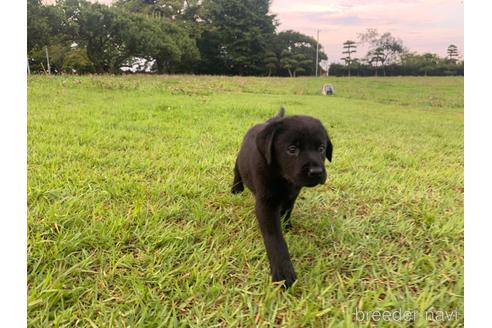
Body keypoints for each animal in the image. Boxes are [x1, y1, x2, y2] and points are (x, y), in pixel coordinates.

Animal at [232, 107, 332, 288]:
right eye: (292, 149)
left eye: (321, 148)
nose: (316, 172)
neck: (283, 177)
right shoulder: (266, 205)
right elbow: (275, 239)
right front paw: (283, 272)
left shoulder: (292, 195)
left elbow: (287, 210)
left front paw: (287, 226)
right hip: (238, 161)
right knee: (237, 171)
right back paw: (236, 188)